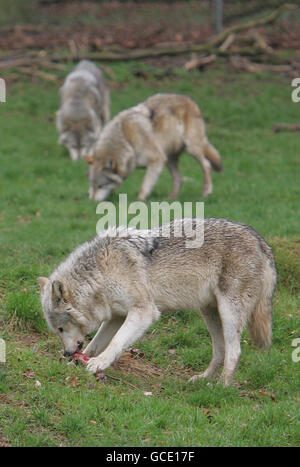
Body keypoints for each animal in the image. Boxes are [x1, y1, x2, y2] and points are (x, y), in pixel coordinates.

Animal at [37, 219, 276, 388]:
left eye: (60, 328)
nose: (67, 353)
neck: (101, 274)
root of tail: (261, 241)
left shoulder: (144, 313)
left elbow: (115, 343)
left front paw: (98, 363)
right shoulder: (116, 317)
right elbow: (95, 344)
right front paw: (78, 363)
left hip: (228, 314)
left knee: (234, 352)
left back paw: (221, 387)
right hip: (210, 314)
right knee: (220, 351)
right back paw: (202, 379)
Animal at [85, 94, 221, 202]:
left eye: (101, 186)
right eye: (92, 185)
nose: (91, 202)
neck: (127, 140)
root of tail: (189, 99)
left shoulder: (156, 161)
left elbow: (144, 187)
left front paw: (139, 202)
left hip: (191, 149)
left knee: (207, 165)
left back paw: (206, 193)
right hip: (169, 159)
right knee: (179, 179)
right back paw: (171, 198)